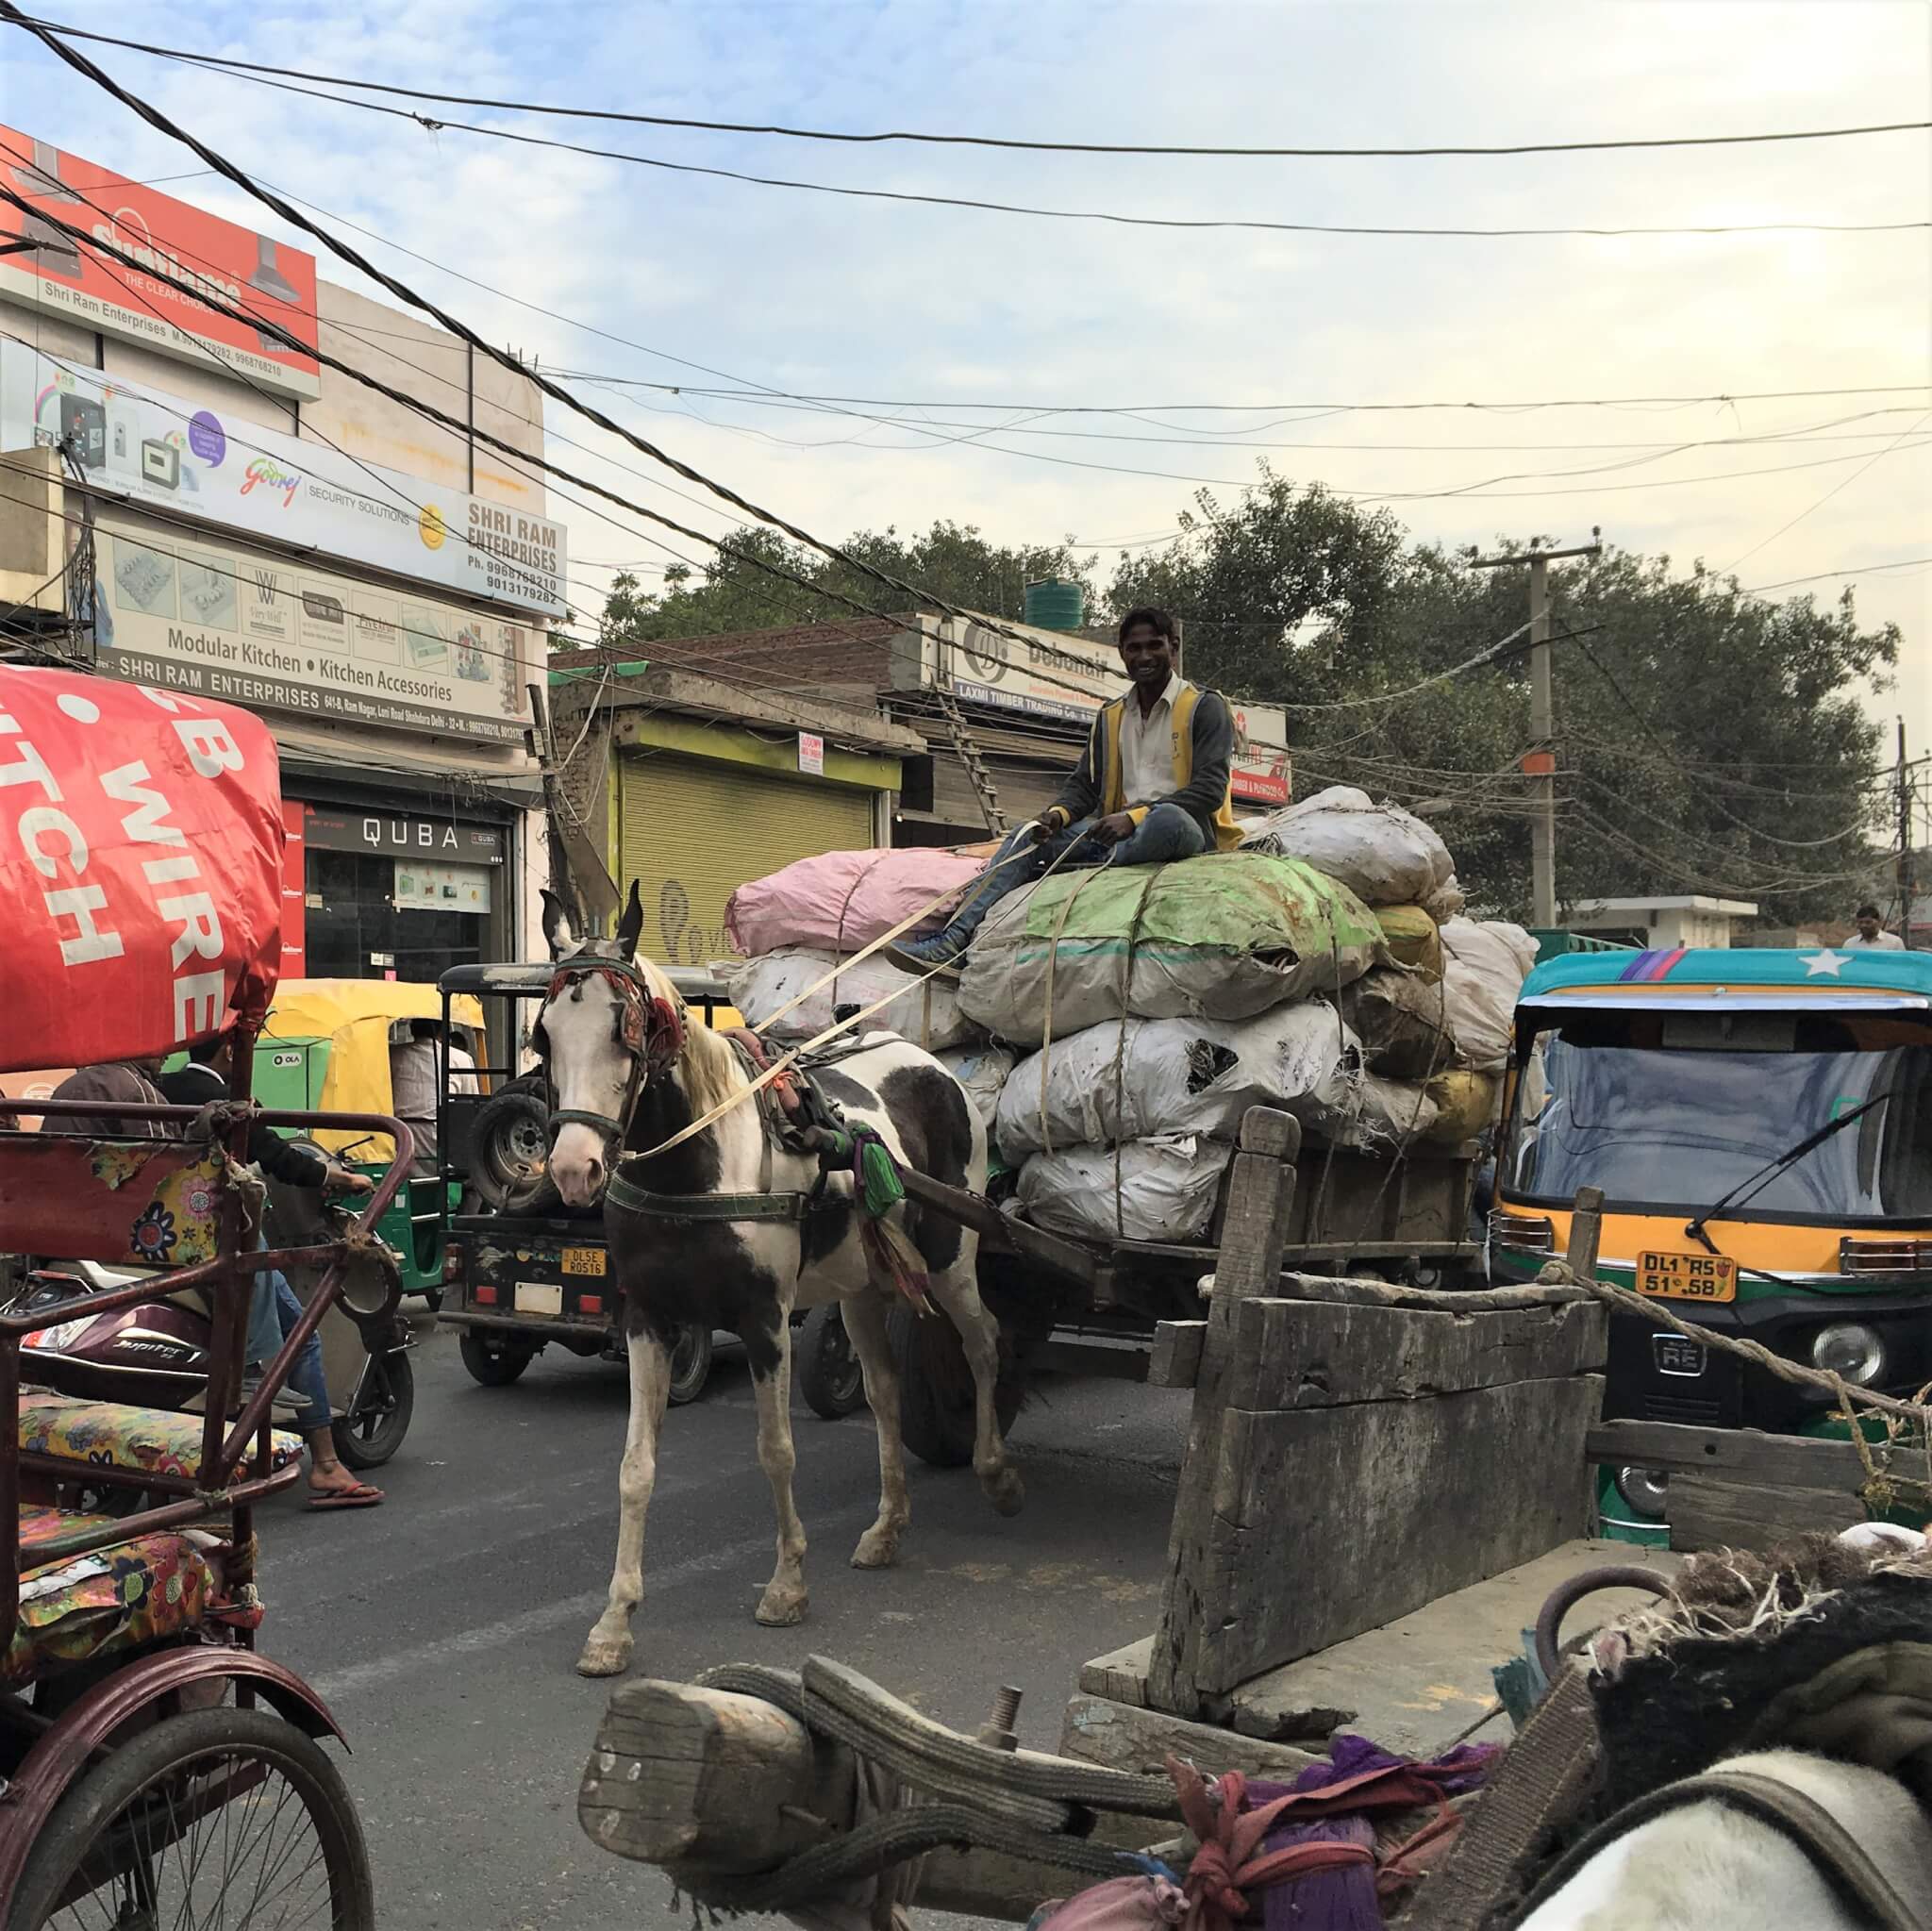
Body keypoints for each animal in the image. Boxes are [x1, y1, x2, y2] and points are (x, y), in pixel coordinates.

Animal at [525, 880, 1012, 1675]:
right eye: (543, 1038)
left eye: (625, 1033)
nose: (573, 1170)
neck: (698, 1163)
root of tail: (931, 1064)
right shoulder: (648, 1320)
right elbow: (635, 1466)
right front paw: (614, 1620)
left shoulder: (763, 1319)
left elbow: (777, 1450)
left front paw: (786, 1584)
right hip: (862, 1284)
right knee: (883, 1392)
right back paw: (888, 1523)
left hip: (951, 1256)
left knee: (983, 1344)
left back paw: (995, 1469)